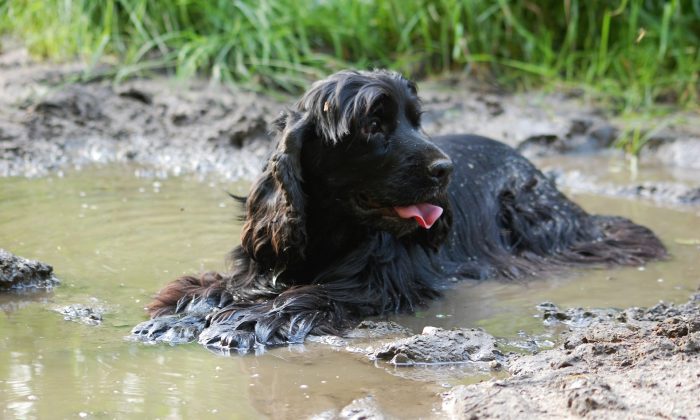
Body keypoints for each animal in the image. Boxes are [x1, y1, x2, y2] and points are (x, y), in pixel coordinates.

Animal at [133, 71, 668, 352]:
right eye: (374, 123)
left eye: (417, 120)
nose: (446, 169)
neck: (333, 231)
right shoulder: (268, 260)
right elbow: (220, 288)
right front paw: (180, 317)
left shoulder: (377, 282)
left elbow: (310, 295)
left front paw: (244, 323)